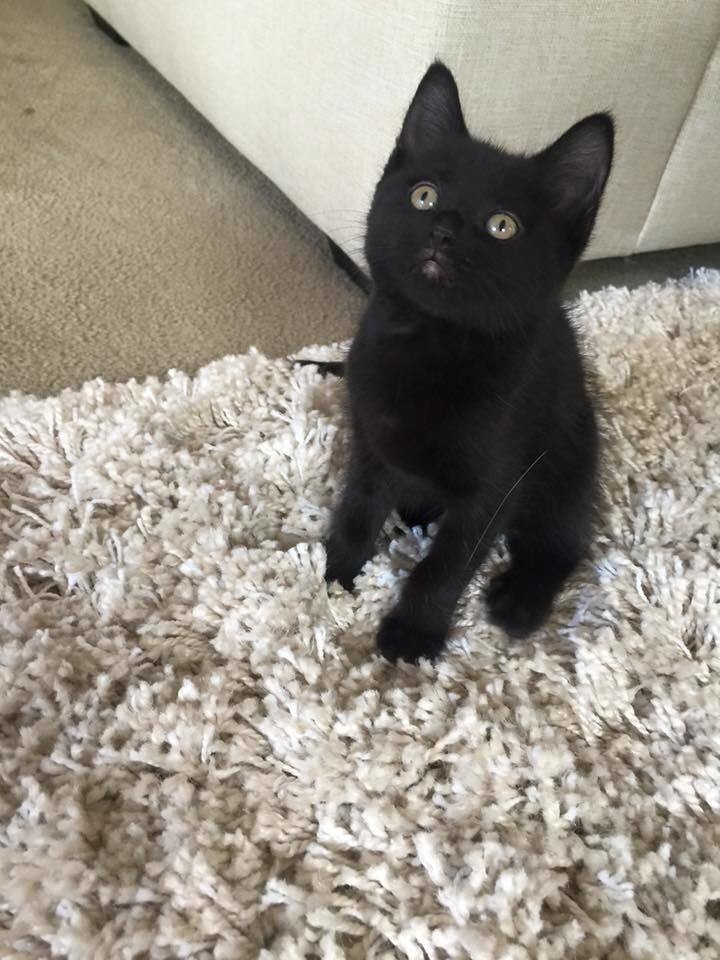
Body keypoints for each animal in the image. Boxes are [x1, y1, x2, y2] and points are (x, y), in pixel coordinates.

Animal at [323, 61, 613, 663]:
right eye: (424, 196)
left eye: (503, 225)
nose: (444, 229)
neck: (429, 344)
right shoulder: (369, 440)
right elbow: (357, 507)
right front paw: (337, 572)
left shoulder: (497, 483)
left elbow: (448, 563)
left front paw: (412, 634)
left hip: (571, 451)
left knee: (562, 538)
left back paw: (519, 600)